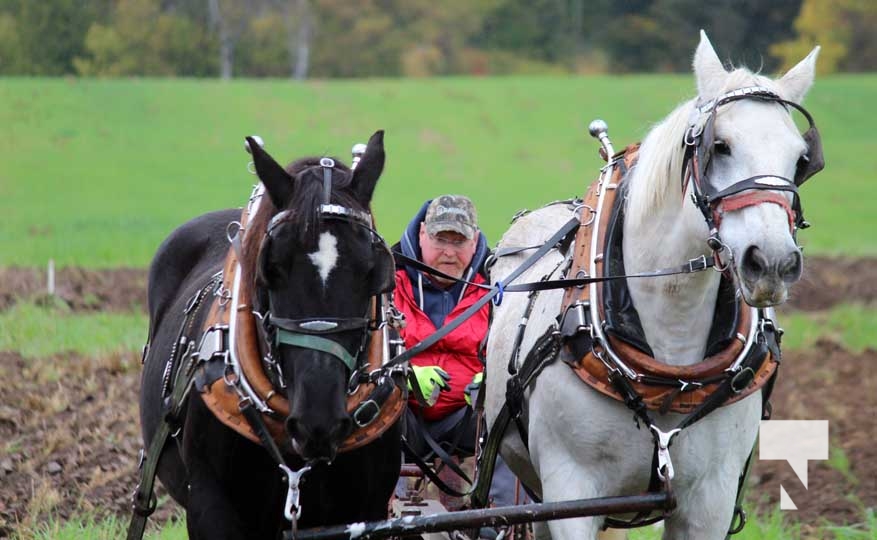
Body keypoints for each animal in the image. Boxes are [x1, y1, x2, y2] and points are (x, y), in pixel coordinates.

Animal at [484, 32, 823, 540]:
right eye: (719, 145)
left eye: (801, 159)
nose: (773, 262)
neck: (671, 370)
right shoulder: (570, 491)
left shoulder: (711, 500)